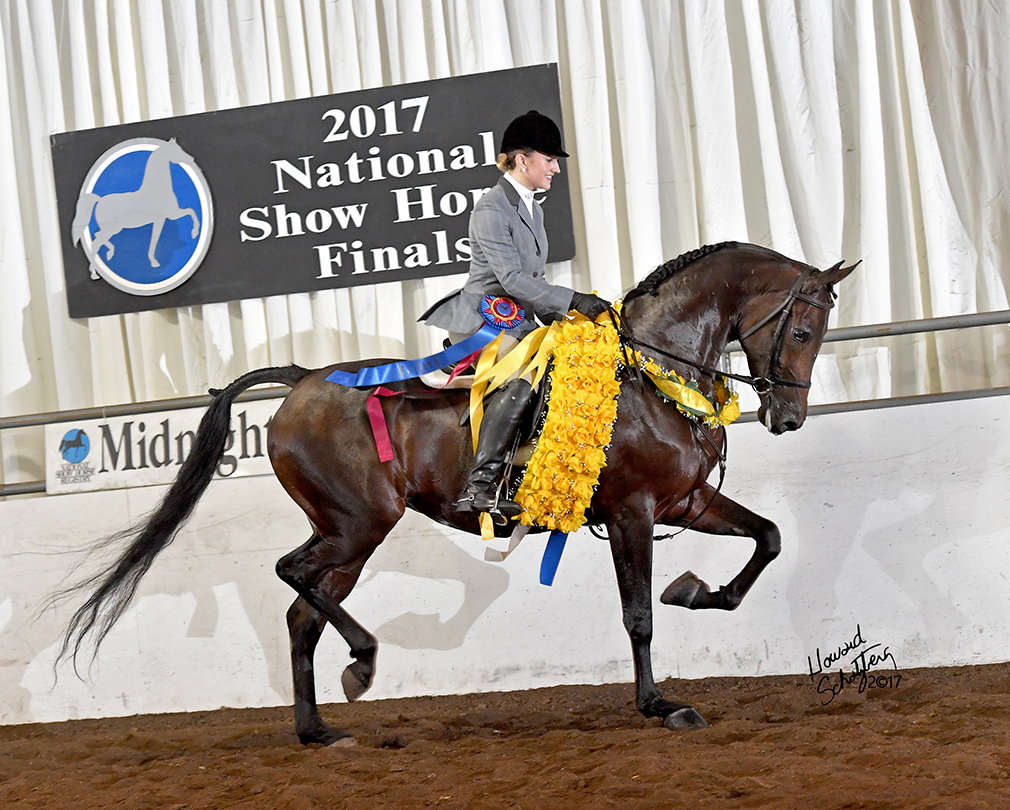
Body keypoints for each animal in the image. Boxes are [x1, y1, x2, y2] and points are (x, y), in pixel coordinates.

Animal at [57, 241, 856, 744]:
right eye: (803, 329)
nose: (788, 418)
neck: (649, 375)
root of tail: (303, 380)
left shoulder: (684, 504)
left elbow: (767, 538)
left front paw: (698, 592)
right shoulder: (631, 513)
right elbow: (638, 620)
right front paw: (660, 704)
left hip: (349, 536)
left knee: (301, 613)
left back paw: (320, 729)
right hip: (358, 524)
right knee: (291, 577)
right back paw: (363, 660)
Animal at [72, 138, 200, 277]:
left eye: (179, 148)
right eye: (174, 150)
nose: (192, 159)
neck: (157, 189)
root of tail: (99, 200)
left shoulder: (160, 219)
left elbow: (154, 239)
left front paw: (153, 261)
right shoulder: (172, 214)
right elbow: (191, 211)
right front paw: (194, 233)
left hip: (112, 229)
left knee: (96, 236)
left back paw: (109, 254)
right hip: (112, 229)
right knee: (96, 243)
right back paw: (95, 273)